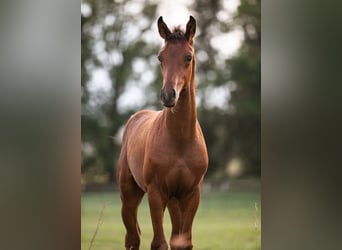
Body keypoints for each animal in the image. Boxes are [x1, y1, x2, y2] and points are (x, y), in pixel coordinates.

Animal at [117, 16, 208, 250]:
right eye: (160, 57)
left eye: (188, 57)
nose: (168, 95)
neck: (180, 141)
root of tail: (136, 117)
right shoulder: (156, 193)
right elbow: (159, 243)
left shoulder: (191, 195)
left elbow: (183, 243)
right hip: (129, 196)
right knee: (132, 238)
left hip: (175, 202)